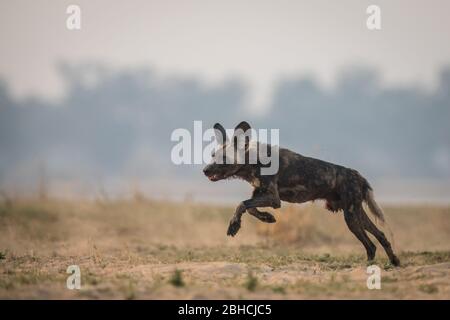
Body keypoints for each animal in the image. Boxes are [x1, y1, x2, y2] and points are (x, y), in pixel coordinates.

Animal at [204, 121, 400, 266]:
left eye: (223, 158)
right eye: (213, 155)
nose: (205, 170)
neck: (253, 160)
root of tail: (358, 175)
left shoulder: (273, 199)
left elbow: (242, 204)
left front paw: (234, 225)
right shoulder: (261, 195)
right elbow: (250, 208)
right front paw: (267, 218)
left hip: (351, 217)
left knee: (370, 243)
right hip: (356, 214)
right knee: (380, 237)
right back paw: (393, 261)